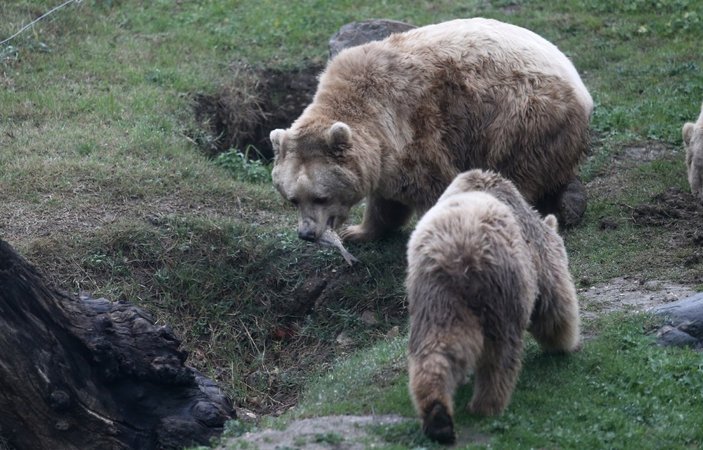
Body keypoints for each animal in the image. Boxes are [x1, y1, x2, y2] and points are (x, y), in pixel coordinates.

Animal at [270, 17, 592, 243]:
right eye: (293, 198)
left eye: (320, 197)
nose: (307, 234)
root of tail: (581, 87)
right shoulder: (385, 152)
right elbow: (386, 200)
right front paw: (358, 231)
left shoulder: (415, 129)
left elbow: (430, 188)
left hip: (521, 118)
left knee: (515, 173)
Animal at [408, 171, 584, 444]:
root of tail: (457, 250)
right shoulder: (537, 254)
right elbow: (555, 302)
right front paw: (566, 342)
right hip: (501, 288)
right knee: (500, 350)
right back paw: (488, 404)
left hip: (434, 296)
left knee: (438, 346)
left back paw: (437, 417)